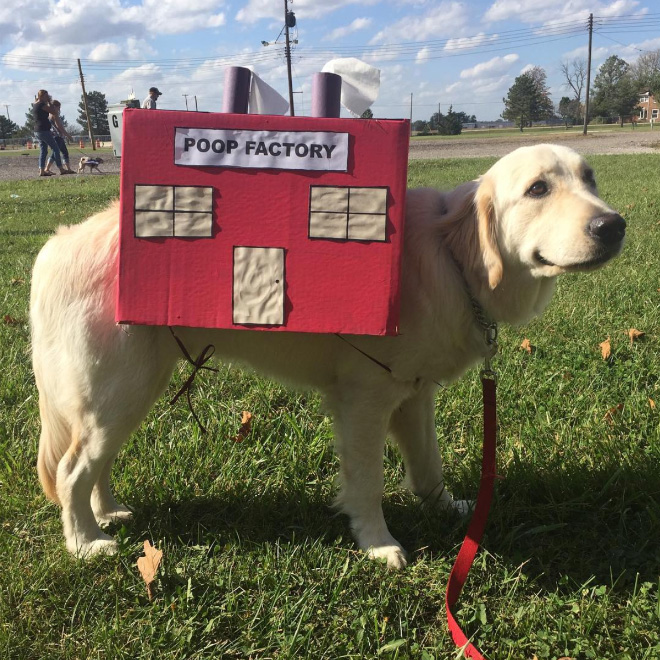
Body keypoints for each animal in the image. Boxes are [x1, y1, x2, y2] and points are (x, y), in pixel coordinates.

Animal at [29, 144, 624, 568]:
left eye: (590, 179)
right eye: (538, 188)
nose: (613, 225)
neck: (453, 259)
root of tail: (55, 246)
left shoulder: (415, 395)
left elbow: (427, 465)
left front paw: (449, 510)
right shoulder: (365, 400)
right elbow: (367, 482)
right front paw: (379, 544)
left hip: (128, 394)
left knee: (92, 466)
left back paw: (107, 514)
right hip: (121, 393)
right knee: (70, 471)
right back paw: (85, 543)